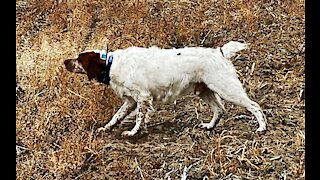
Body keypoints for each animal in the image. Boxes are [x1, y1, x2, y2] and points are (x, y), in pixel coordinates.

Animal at [63, 41, 266, 136]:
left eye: (78, 59)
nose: (65, 62)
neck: (110, 64)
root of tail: (220, 52)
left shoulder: (142, 97)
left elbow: (139, 118)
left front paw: (133, 132)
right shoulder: (130, 101)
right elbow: (116, 116)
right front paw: (106, 128)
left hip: (227, 88)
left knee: (254, 106)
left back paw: (262, 127)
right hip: (204, 90)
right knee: (219, 109)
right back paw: (209, 126)